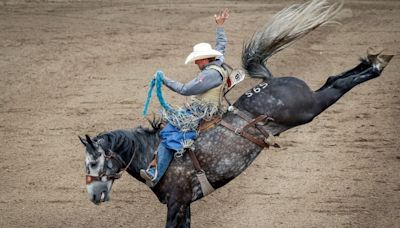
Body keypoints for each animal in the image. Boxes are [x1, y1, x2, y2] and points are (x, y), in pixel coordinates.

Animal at [78, 0, 394, 227]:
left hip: (307, 110)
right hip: (309, 104)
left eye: (93, 163)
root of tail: (271, 80)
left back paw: (376, 64)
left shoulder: (177, 203)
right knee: (332, 79)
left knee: (337, 84)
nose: (93, 196)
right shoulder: (185, 205)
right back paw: (372, 59)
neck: (154, 154)